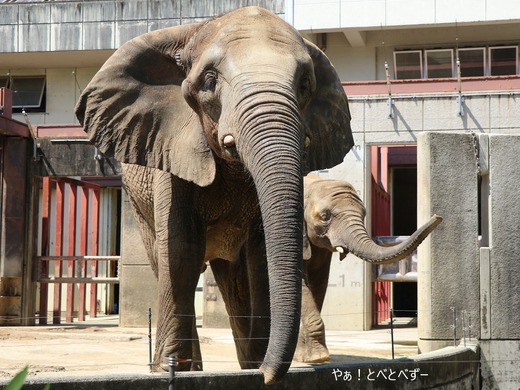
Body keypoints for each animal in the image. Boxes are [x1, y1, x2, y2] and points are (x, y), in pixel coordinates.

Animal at [75, 6, 356, 384]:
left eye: (304, 85)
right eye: (209, 81)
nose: (269, 375)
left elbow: (261, 254)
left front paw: (257, 368)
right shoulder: (171, 149)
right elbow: (180, 246)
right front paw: (172, 369)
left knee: (235, 279)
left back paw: (246, 362)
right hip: (137, 205)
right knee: (165, 259)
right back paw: (189, 366)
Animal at [296, 174, 442, 362]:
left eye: (363, 215)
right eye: (324, 216)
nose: (438, 216)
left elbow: (318, 281)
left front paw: (308, 359)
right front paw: (318, 358)